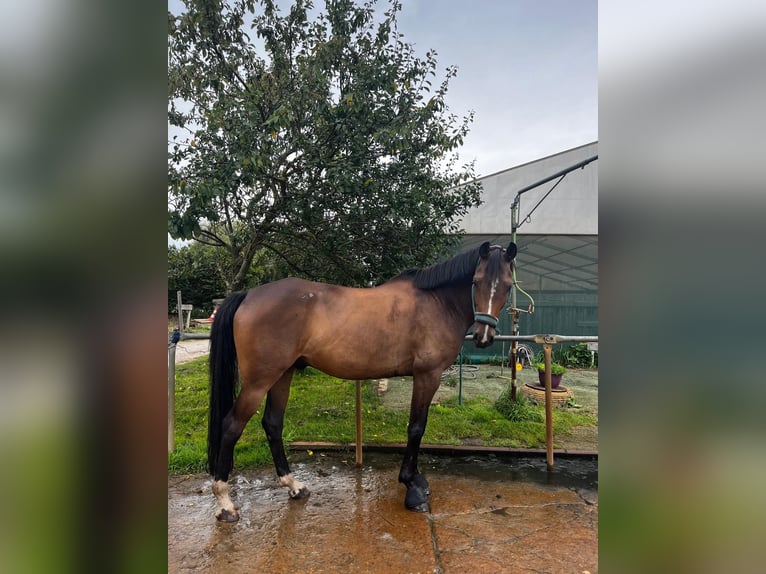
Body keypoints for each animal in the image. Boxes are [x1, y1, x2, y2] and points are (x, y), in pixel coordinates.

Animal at [207, 241, 520, 524]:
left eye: (507, 286)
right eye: (476, 282)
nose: (483, 337)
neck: (436, 303)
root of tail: (249, 295)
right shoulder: (427, 375)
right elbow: (416, 428)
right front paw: (412, 486)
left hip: (282, 374)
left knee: (272, 423)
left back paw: (294, 486)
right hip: (259, 381)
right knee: (232, 426)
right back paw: (225, 504)